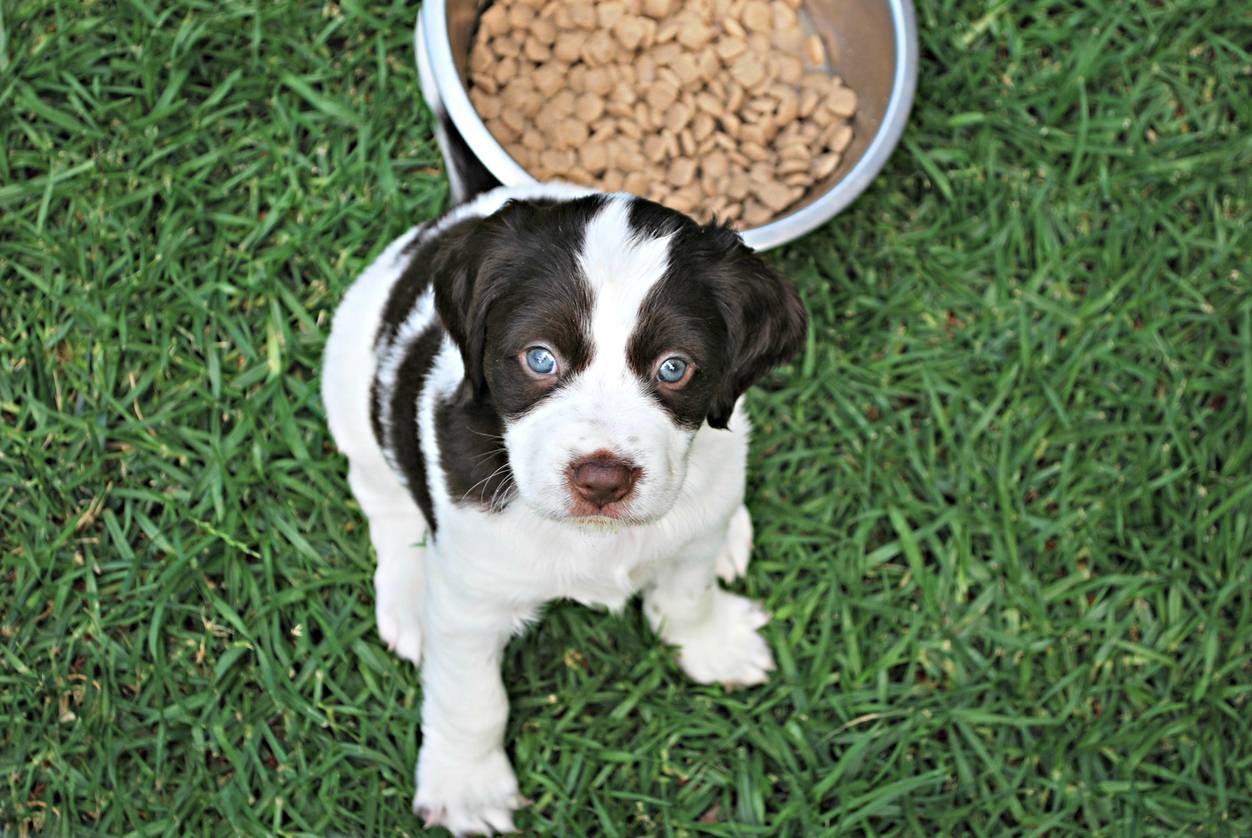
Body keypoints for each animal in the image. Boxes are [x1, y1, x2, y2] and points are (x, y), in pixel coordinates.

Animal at [323, 182, 806, 831]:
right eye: (540, 358)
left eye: (674, 368)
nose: (602, 480)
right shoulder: (472, 599)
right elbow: (471, 699)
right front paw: (466, 788)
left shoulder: (691, 533)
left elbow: (687, 594)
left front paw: (710, 643)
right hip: (349, 388)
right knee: (385, 498)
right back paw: (407, 591)